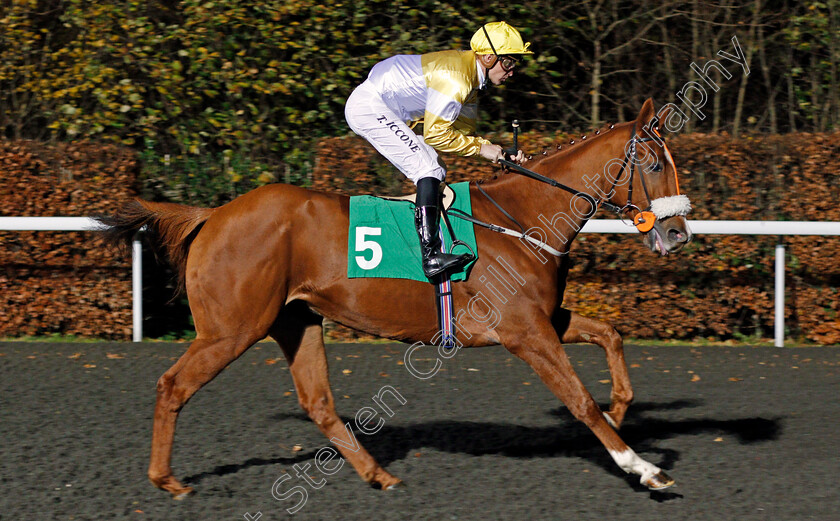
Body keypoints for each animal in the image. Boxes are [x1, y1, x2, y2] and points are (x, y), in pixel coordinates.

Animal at [98, 98, 688, 496]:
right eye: (655, 163)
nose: (677, 233)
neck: (524, 218)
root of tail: (213, 214)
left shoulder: (544, 319)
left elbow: (610, 335)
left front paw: (621, 412)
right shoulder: (525, 333)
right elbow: (580, 399)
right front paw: (643, 467)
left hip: (296, 320)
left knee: (319, 403)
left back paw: (379, 474)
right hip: (231, 328)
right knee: (173, 385)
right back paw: (167, 479)